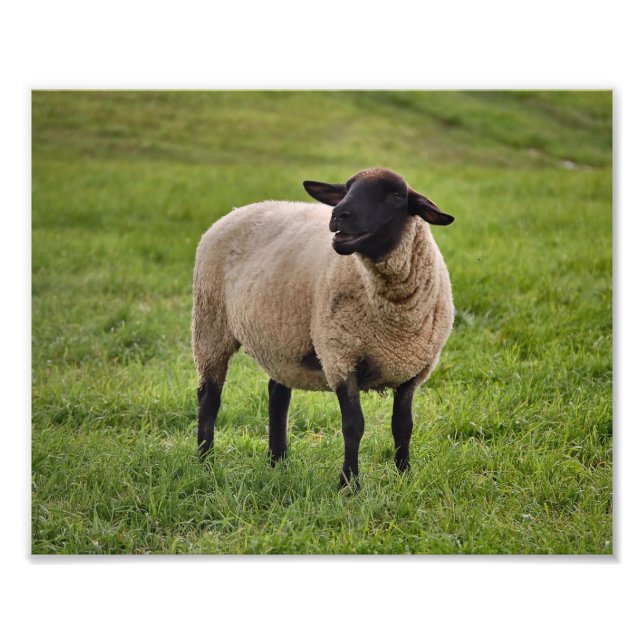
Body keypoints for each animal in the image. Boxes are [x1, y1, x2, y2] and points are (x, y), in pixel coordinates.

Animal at [192, 168, 455, 488]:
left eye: (396, 195)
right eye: (347, 188)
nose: (339, 214)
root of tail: (238, 210)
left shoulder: (414, 371)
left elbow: (403, 426)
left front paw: (404, 475)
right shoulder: (340, 356)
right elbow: (354, 425)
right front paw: (349, 484)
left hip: (282, 337)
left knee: (277, 394)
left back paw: (278, 461)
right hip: (210, 324)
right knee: (210, 397)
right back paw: (205, 461)